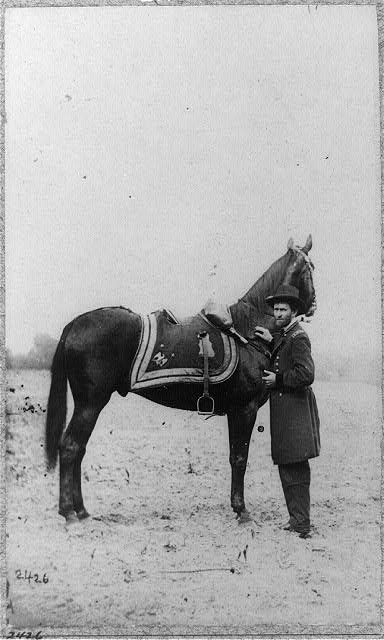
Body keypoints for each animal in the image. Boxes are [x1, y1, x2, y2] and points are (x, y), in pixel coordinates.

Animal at [45, 238, 316, 524]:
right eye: (310, 269)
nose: (313, 305)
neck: (247, 330)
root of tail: (75, 324)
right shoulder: (244, 409)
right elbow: (240, 458)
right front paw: (241, 510)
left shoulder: (236, 411)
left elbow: (235, 457)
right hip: (90, 404)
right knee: (71, 446)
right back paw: (69, 512)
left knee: (78, 449)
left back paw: (81, 511)